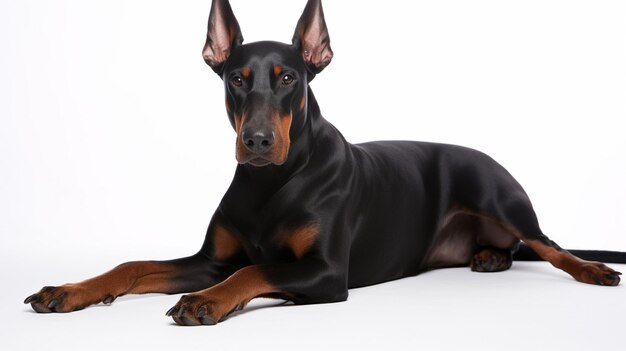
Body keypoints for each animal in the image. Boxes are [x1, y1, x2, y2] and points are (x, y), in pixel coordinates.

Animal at [23, 0, 620, 328]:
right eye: (236, 79)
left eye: (289, 78)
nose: (257, 141)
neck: (271, 183)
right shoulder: (208, 259)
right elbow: (134, 266)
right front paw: (68, 291)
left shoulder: (328, 272)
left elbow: (254, 269)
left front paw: (207, 302)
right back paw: (490, 258)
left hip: (501, 195)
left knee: (550, 246)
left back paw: (592, 269)